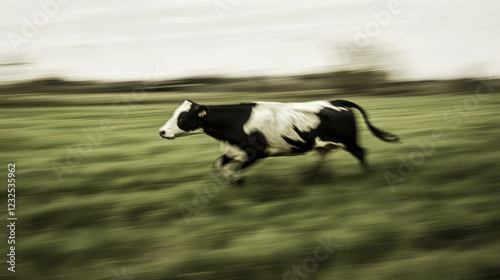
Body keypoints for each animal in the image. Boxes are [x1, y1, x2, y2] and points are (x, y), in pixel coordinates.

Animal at [158, 99, 400, 183]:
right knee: (323, 155)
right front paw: (231, 180)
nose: (162, 131)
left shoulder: (255, 153)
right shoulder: (232, 151)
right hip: (324, 143)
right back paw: (308, 178)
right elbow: (218, 165)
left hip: (348, 141)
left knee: (361, 152)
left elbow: (235, 170)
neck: (234, 123)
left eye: (183, 116)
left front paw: (237, 180)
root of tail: (337, 102)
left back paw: (365, 175)